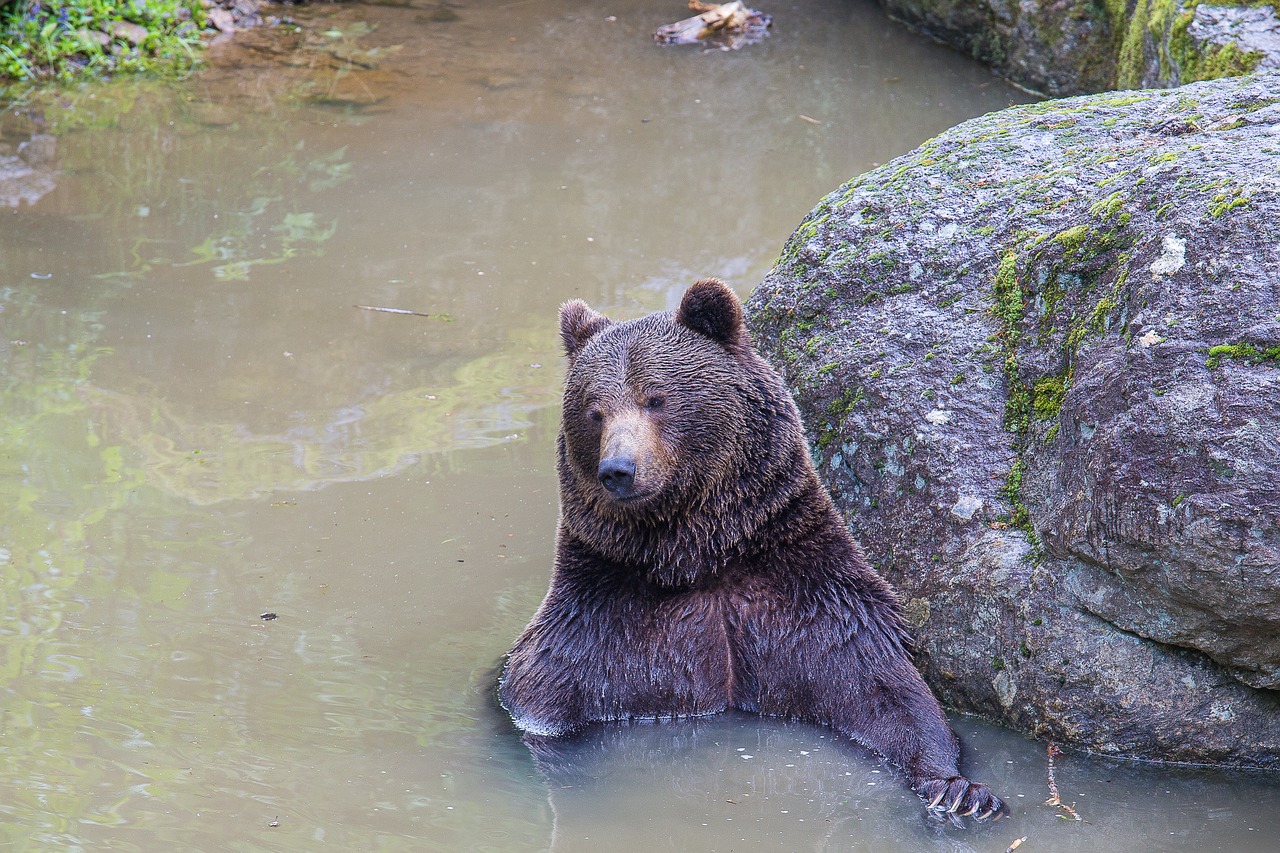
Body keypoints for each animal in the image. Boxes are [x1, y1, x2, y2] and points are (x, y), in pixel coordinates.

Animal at [499, 277, 1008, 819]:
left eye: (655, 399)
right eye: (594, 411)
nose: (618, 469)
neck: (696, 559)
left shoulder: (813, 608)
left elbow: (890, 694)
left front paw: (958, 790)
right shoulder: (597, 629)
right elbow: (544, 701)